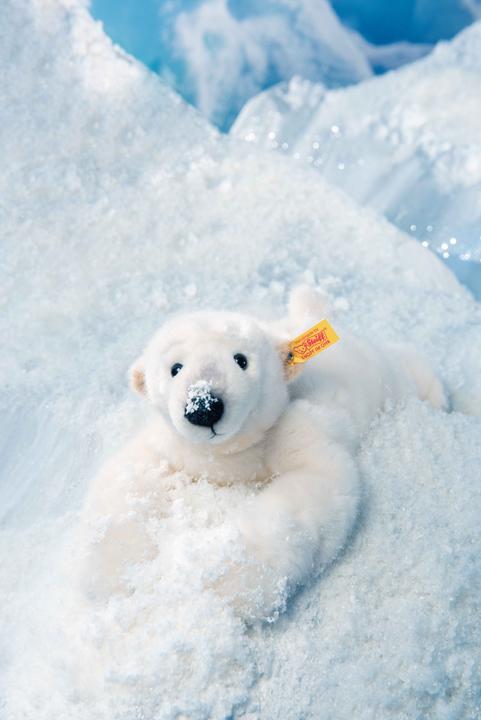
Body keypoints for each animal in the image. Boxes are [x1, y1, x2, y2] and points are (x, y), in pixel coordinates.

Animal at [76, 286, 446, 621]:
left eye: (241, 360)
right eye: (175, 368)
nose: (203, 407)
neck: (226, 457)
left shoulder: (291, 430)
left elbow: (312, 483)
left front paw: (224, 579)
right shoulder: (173, 448)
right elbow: (128, 482)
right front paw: (117, 574)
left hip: (383, 374)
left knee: (409, 368)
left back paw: (440, 398)